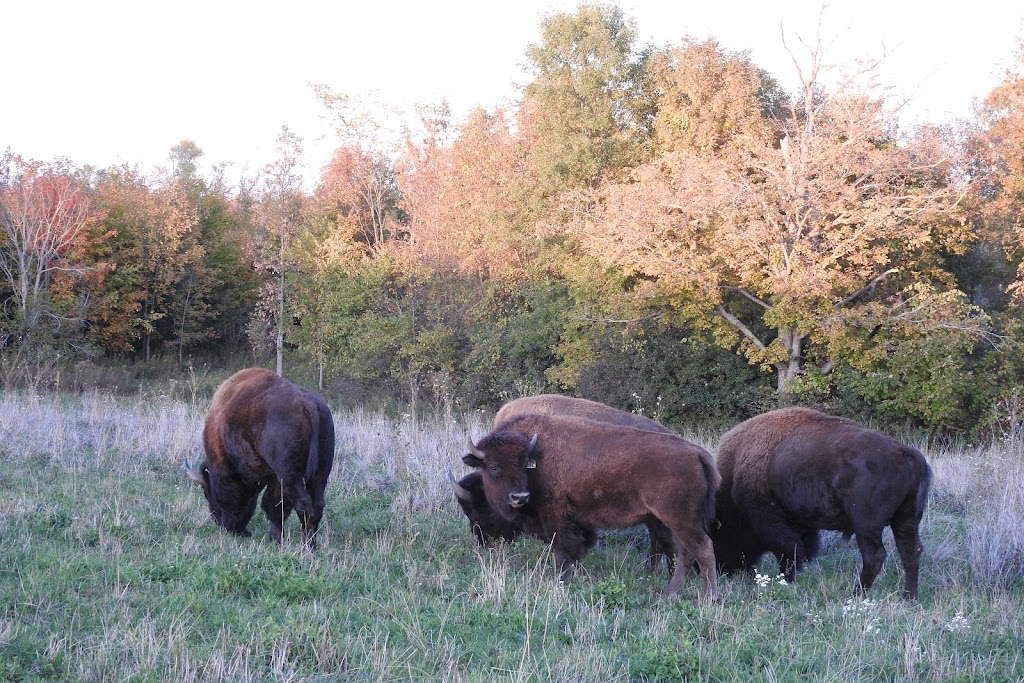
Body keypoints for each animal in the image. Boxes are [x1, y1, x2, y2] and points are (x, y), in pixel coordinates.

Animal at [186, 368, 337, 548]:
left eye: (207, 492)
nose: (224, 525)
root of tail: (308, 403)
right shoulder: (274, 478)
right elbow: (276, 505)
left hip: (290, 475)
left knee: (303, 504)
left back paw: (306, 546)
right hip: (320, 472)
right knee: (316, 505)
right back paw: (310, 545)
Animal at [464, 411, 720, 598]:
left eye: (523, 464)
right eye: (493, 467)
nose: (519, 497)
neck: (537, 455)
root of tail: (697, 453)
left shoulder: (555, 515)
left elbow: (562, 548)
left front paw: (562, 580)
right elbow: (576, 548)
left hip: (681, 520)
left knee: (702, 549)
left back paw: (708, 597)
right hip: (673, 521)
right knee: (684, 552)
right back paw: (670, 592)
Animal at [716, 405, 933, 598]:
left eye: (720, 534)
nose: (724, 571)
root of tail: (904, 453)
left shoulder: (768, 519)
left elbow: (789, 550)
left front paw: (786, 580)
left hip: (866, 525)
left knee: (875, 556)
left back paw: (856, 595)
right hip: (906, 519)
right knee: (911, 551)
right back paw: (909, 598)